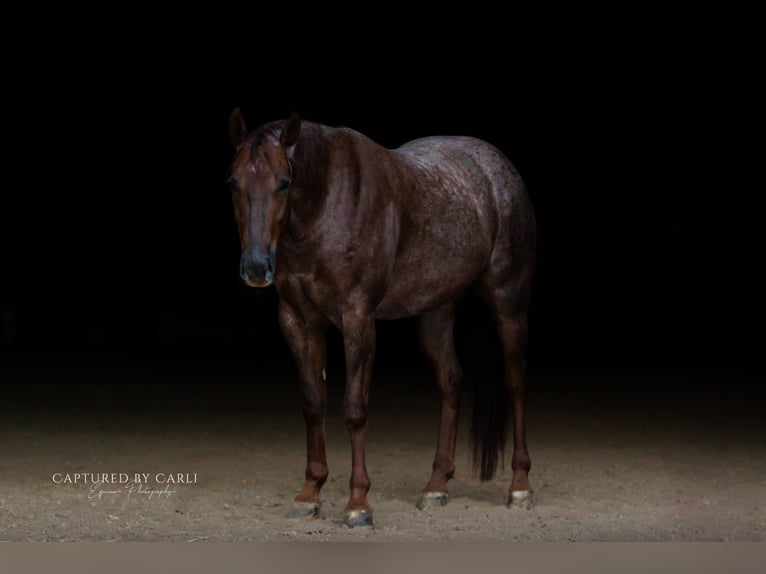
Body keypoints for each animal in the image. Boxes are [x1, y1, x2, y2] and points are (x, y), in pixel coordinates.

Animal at [227, 110, 536, 527]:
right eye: (233, 182)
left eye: (284, 182)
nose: (257, 267)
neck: (326, 204)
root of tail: (495, 165)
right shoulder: (299, 321)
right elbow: (312, 403)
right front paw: (309, 493)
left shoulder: (357, 319)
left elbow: (355, 409)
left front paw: (358, 503)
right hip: (436, 310)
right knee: (451, 381)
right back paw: (436, 485)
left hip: (508, 301)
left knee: (516, 382)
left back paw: (520, 486)